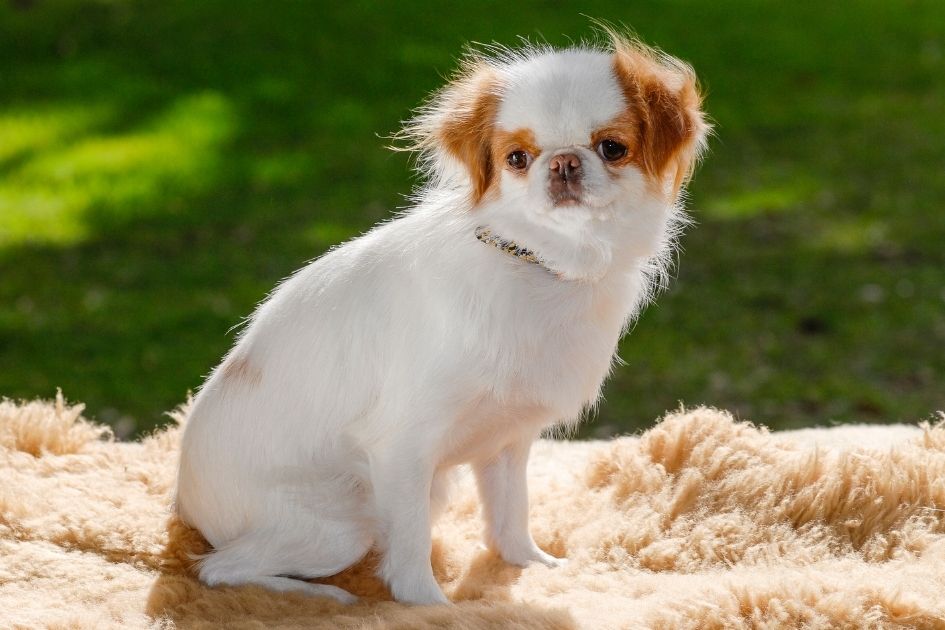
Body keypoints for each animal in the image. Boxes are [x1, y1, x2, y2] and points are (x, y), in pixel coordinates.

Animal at [177, 30, 708, 608]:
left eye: (612, 148)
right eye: (517, 158)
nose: (563, 163)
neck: (537, 263)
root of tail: (186, 503)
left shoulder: (506, 441)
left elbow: (509, 518)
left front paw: (533, 565)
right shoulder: (401, 449)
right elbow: (411, 558)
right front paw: (435, 609)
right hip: (346, 521)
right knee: (218, 569)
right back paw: (323, 597)